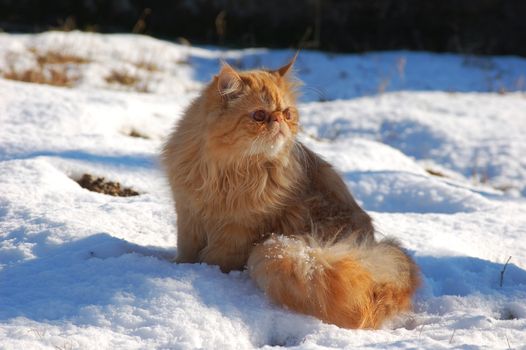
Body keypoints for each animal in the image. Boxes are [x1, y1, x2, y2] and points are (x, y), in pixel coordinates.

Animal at [161, 54, 420, 328]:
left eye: (286, 113)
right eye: (259, 115)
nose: (279, 121)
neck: (229, 171)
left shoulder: (238, 230)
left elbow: (217, 259)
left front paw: (205, 274)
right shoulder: (188, 215)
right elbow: (186, 251)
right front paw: (181, 267)